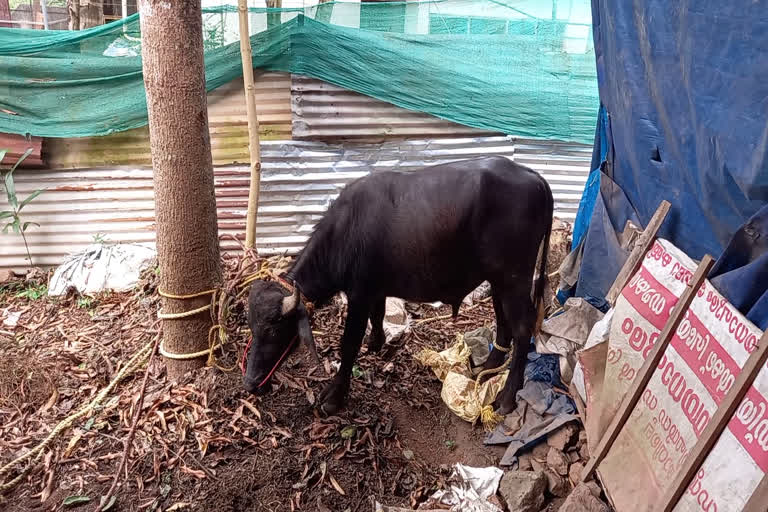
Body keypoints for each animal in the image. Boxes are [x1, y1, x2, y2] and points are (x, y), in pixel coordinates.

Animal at [244, 156, 552, 416]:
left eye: (274, 330)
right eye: (252, 327)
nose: (250, 381)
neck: (345, 232)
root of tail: (533, 176)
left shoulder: (358, 294)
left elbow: (349, 343)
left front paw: (334, 396)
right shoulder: (376, 290)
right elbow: (378, 315)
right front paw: (376, 343)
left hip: (516, 277)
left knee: (522, 328)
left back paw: (507, 398)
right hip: (499, 278)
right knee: (503, 321)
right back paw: (487, 368)